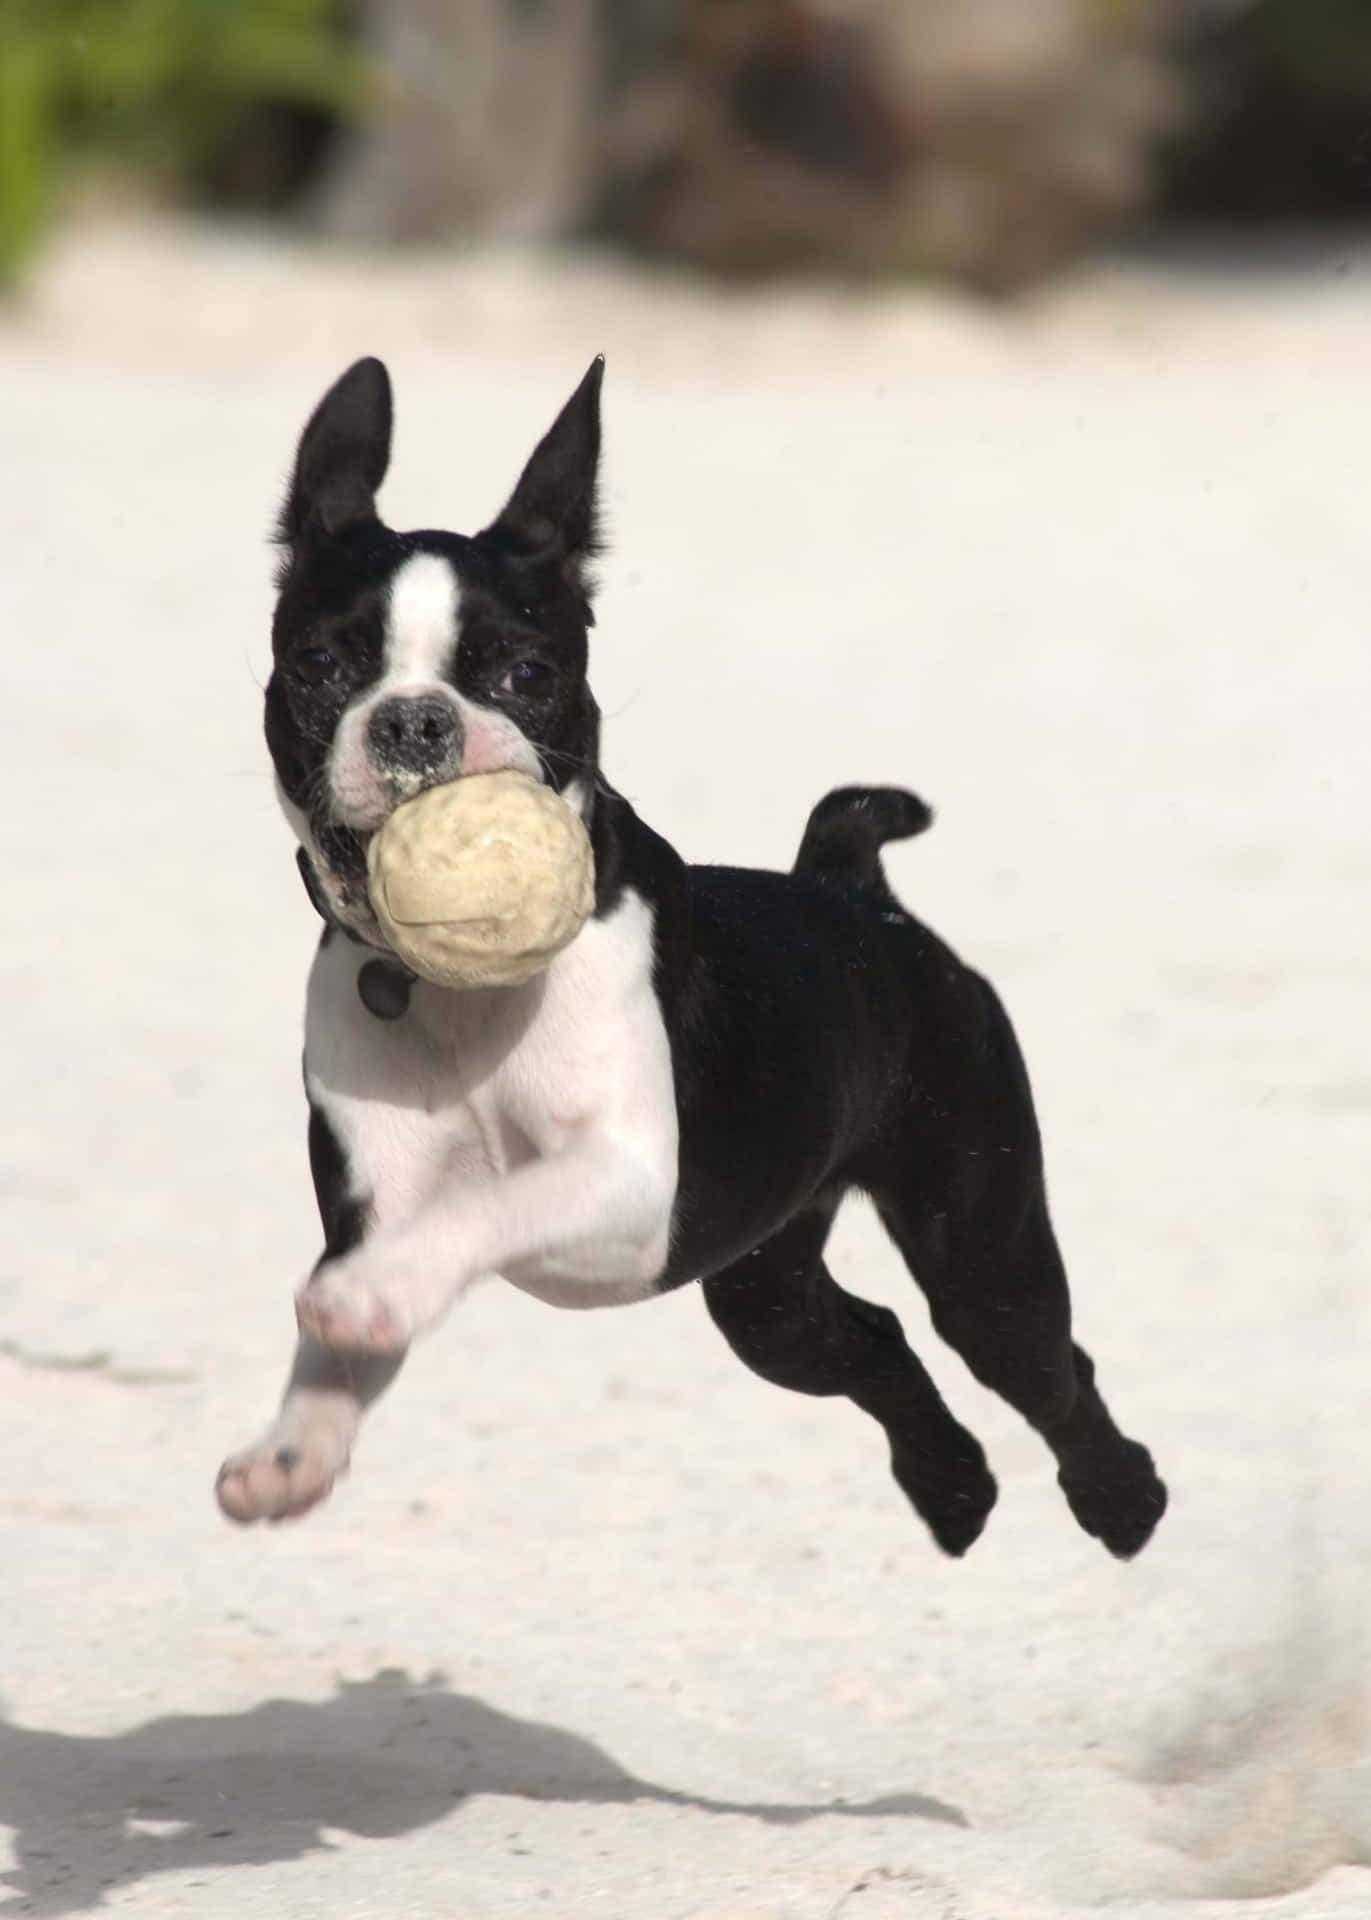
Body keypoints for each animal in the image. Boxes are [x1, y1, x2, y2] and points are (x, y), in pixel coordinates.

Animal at [218, 360, 1159, 1559]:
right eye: (321, 664)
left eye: (527, 673)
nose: (416, 722)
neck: (456, 995)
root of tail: (854, 887)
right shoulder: (378, 1199)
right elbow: (339, 1353)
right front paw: (291, 1455)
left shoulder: (624, 1176)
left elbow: (478, 1210)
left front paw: (364, 1300)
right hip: (766, 1293)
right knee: (876, 1342)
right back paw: (952, 1490)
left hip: (979, 1249)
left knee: (1044, 1366)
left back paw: (1120, 1500)